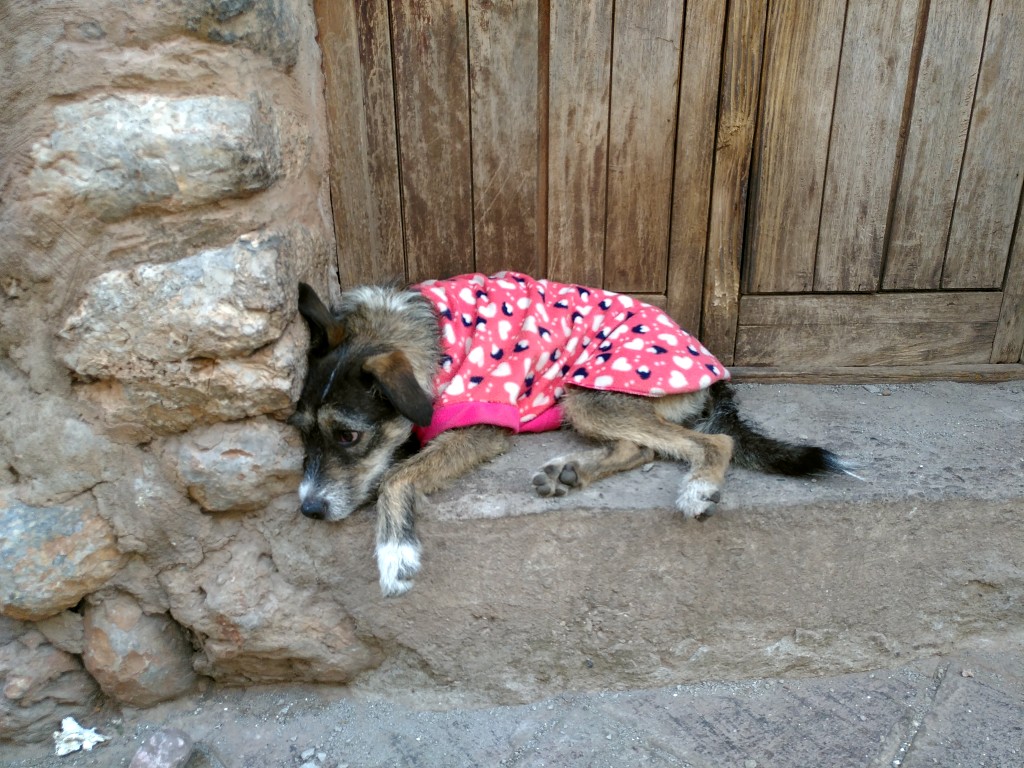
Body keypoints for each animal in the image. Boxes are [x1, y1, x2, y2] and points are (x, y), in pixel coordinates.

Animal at [288, 274, 847, 598]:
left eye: (348, 437)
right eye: (302, 433)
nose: (308, 510)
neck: (419, 331)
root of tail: (715, 371)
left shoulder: (483, 426)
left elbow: (395, 477)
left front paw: (395, 553)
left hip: (586, 392)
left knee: (713, 442)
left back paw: (699, 487)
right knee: (642, 445)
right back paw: (570, 472)